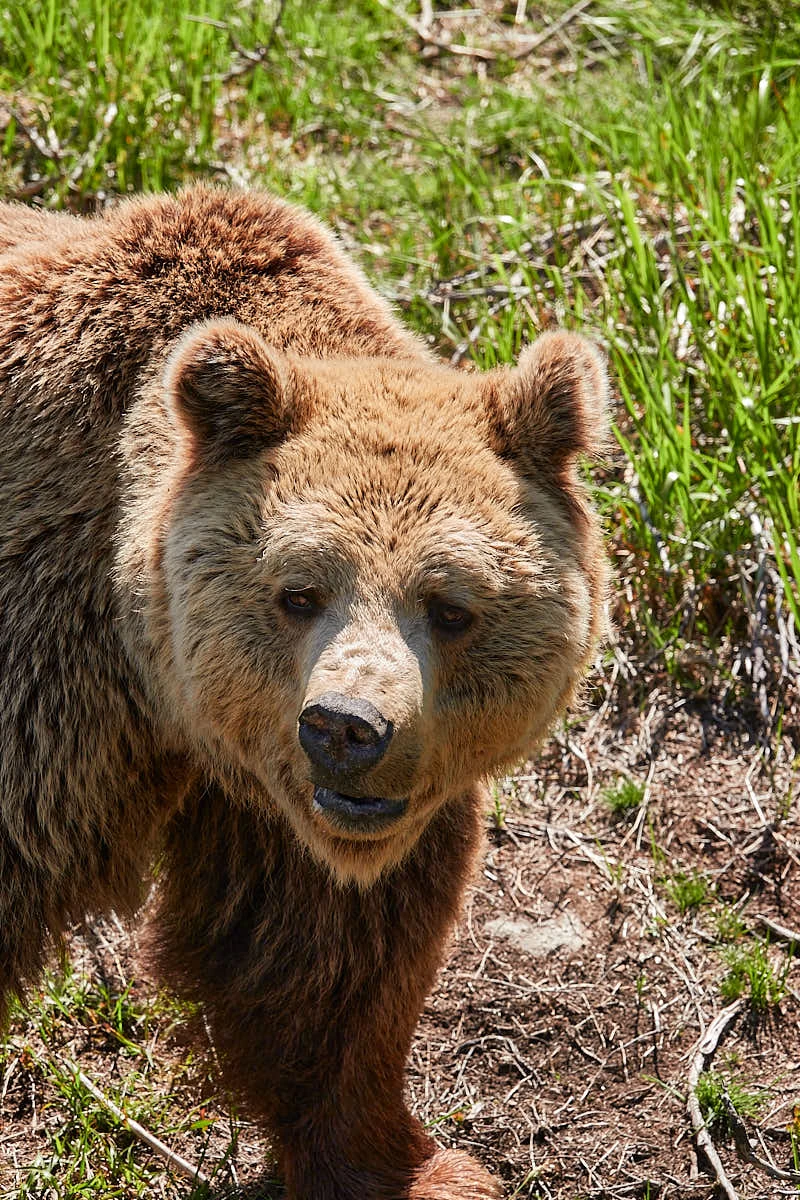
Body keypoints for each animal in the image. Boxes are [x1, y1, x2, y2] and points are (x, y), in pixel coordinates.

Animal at [0, 185, 607, 1199]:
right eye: (298, 592)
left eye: (450, 606)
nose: (346, 728)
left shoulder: (286, 809)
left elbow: (324, 961)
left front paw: (413, 1168)